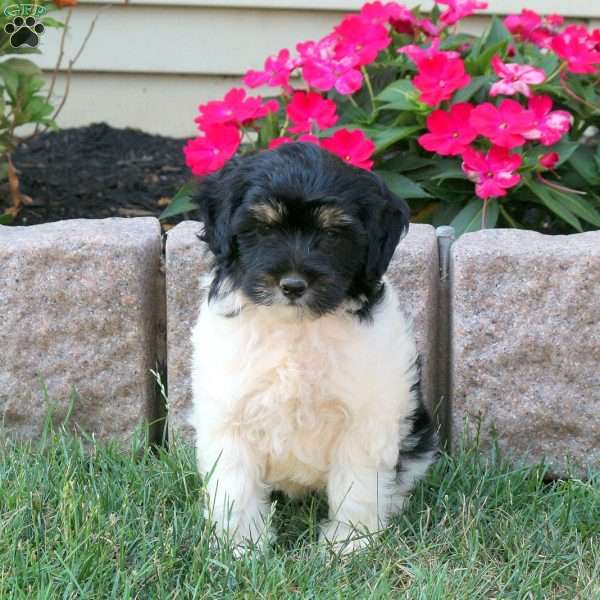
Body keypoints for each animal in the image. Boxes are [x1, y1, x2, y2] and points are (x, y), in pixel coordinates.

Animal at [190, 142, 438, 552]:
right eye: (264, 229)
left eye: (333, 234)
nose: (292, 284)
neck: (297, 329)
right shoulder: (229, 409)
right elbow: (235, 484)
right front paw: (240, 545)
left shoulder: (365, 416)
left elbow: (357, 482)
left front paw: (350, 543)